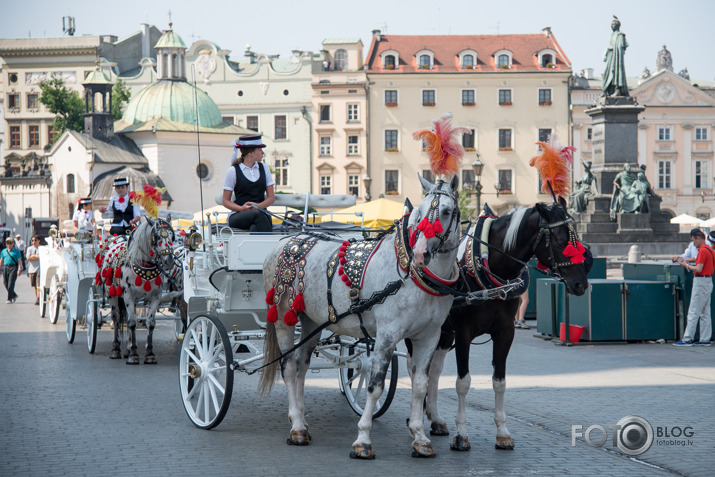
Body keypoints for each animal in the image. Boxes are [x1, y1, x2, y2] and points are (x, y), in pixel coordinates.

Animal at [260, 175, 462, 458]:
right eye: (420, 212)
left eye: (446, 211)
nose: (422, 253)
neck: (409, 272)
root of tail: (285, 240)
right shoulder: (387, 335)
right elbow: (375, 386)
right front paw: (363, 440)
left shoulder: (429, 336)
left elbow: (421, 385)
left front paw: (421, 438)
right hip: (282, 317)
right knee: (288, 368)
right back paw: (297, 427)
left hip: (312, 321)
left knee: (301, 366)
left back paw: (300, 418)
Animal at [420, 200, 588, 450]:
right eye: (561, 242)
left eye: (577, 239)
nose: (581, 284)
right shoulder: (463, 334)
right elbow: (463, 383)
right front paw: (462, 434)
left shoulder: (505, 332)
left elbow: (499, 381)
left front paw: (502, 433)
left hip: (443, 334)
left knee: (434, 372)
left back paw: (435, 418)